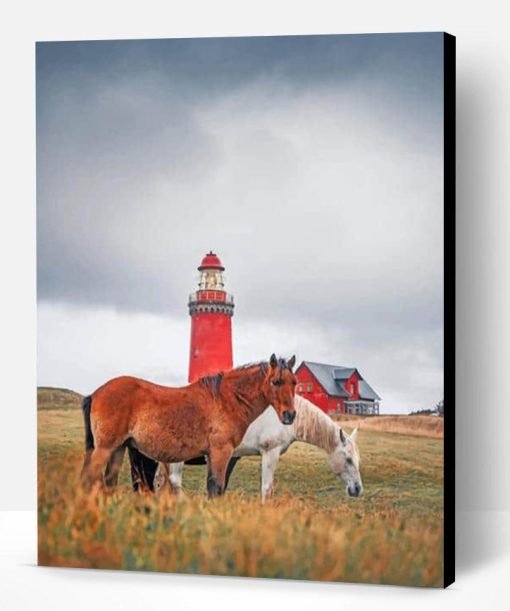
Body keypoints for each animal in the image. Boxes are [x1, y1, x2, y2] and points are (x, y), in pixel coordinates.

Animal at [79, 354, 294, 498]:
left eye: (294, 383)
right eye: (275, 381)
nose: (290, 415)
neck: (225, 400)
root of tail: (95, 393)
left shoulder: (213, 455)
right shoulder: (221, 452)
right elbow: (217, 488)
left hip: (118, 449)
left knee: (109, 483)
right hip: (105, 448)